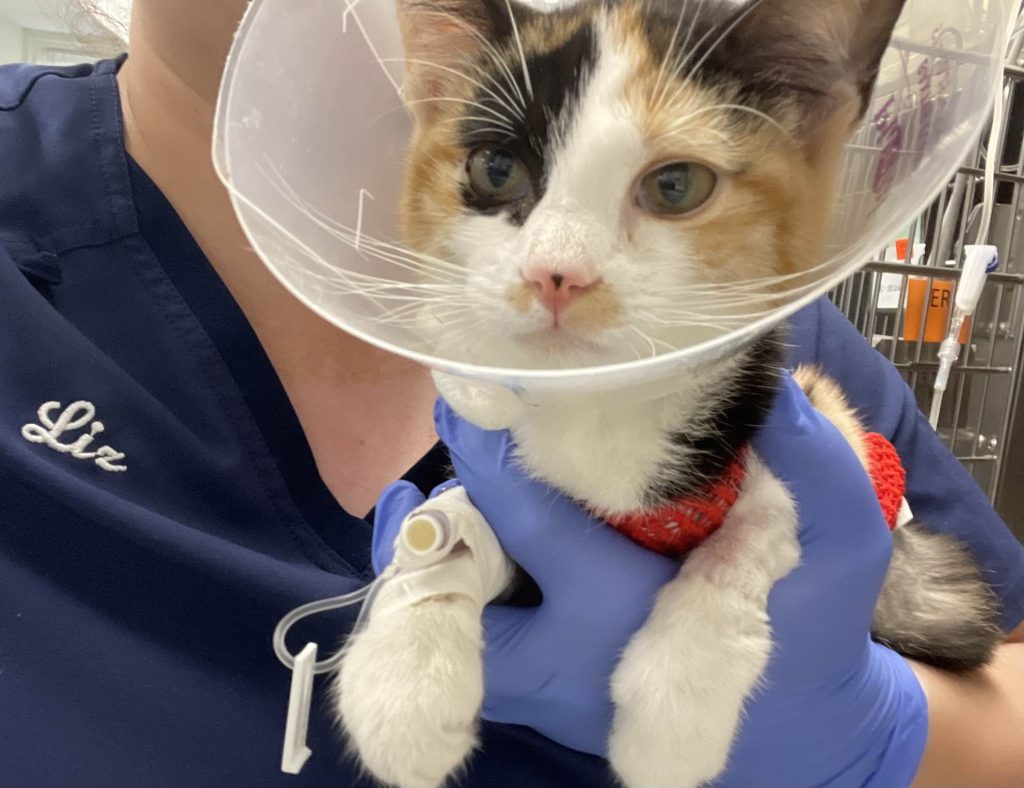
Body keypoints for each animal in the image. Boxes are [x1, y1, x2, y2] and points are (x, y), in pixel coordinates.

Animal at [333, 3, 999, 781]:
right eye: (495, 169)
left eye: (676, 185)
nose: (556, 273)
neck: (605, 406)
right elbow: (448, 518)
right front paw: (404, 673)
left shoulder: (810, 430)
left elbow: (764, 520)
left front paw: (678, 701)